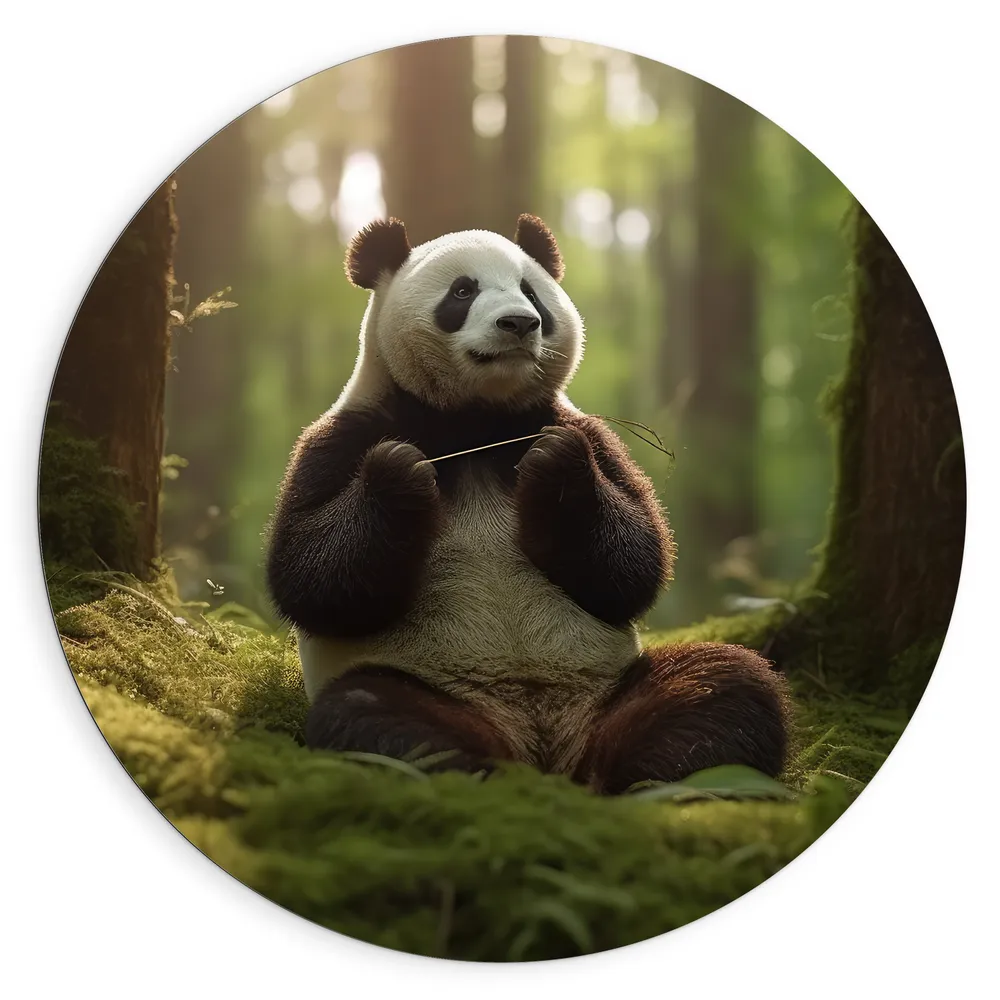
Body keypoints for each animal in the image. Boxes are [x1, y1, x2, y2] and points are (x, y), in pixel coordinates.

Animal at [265, 214, 790, 794]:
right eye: (463, 291)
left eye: (531, 291)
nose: (520, 322)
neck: (475, 420)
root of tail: (544, 751)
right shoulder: (344, 435)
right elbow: (310, 574)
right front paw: (403, 471)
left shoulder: (579, 428)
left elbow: (634, 563)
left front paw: (556, 465)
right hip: (438, 689)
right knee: (374, 717)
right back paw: (474, 774)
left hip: (607, 692)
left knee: (721, 686)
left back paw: (650, 779)